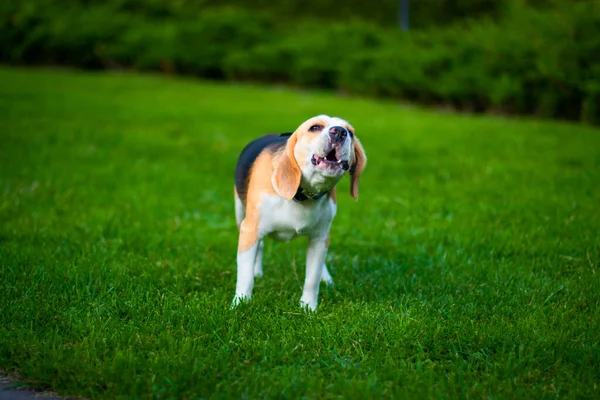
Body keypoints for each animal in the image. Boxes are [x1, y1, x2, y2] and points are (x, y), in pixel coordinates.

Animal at [233, 114, 366, 310]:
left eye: (350, 132)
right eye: (315, 127)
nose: (340, 132)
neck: (302, 195)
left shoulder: (319, 239)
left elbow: (312, 279)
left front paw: (308, 307)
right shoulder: (250, 230)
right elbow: (245, 276)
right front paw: (240, 303)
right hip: (240, 213)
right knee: (260, 246)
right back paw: (257, 272)